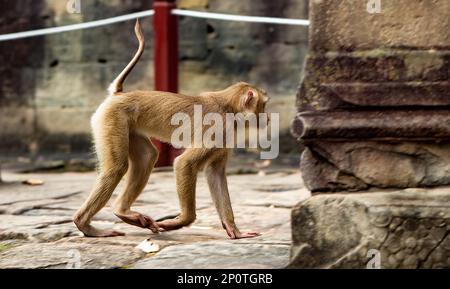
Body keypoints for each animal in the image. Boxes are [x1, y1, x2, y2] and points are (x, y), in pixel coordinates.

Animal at [73, 19, 268, 238]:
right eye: (263, 105)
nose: (267, 117)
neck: (229, 107)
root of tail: (119, 94)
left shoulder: (226, 135)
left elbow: (215, 173)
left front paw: (232, 228)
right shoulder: (219, 127)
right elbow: (184, 164)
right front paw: (183, 221)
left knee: (146, 157)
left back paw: (122, 212)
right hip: (111, 119)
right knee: (117, 168)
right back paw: (84, 224)